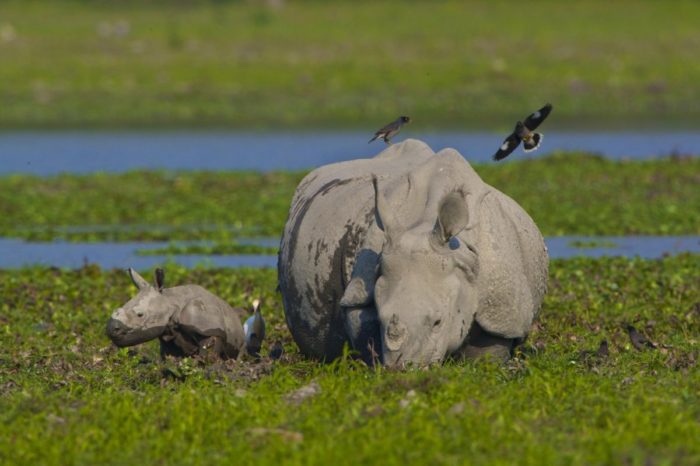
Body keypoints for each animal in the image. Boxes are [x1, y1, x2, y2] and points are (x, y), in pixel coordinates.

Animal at [106, 268, 254, 358]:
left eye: (140, 315)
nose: (112, 330)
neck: (171, 302)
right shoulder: (167, 335)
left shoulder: (206, 324)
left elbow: (208, 349)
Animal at [278, 140, 548, 366]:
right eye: (382, 317)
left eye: (438, 322)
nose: (402, 369)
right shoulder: (361, 288)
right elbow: (364, 329)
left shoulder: (502, 307)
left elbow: (490, 348)